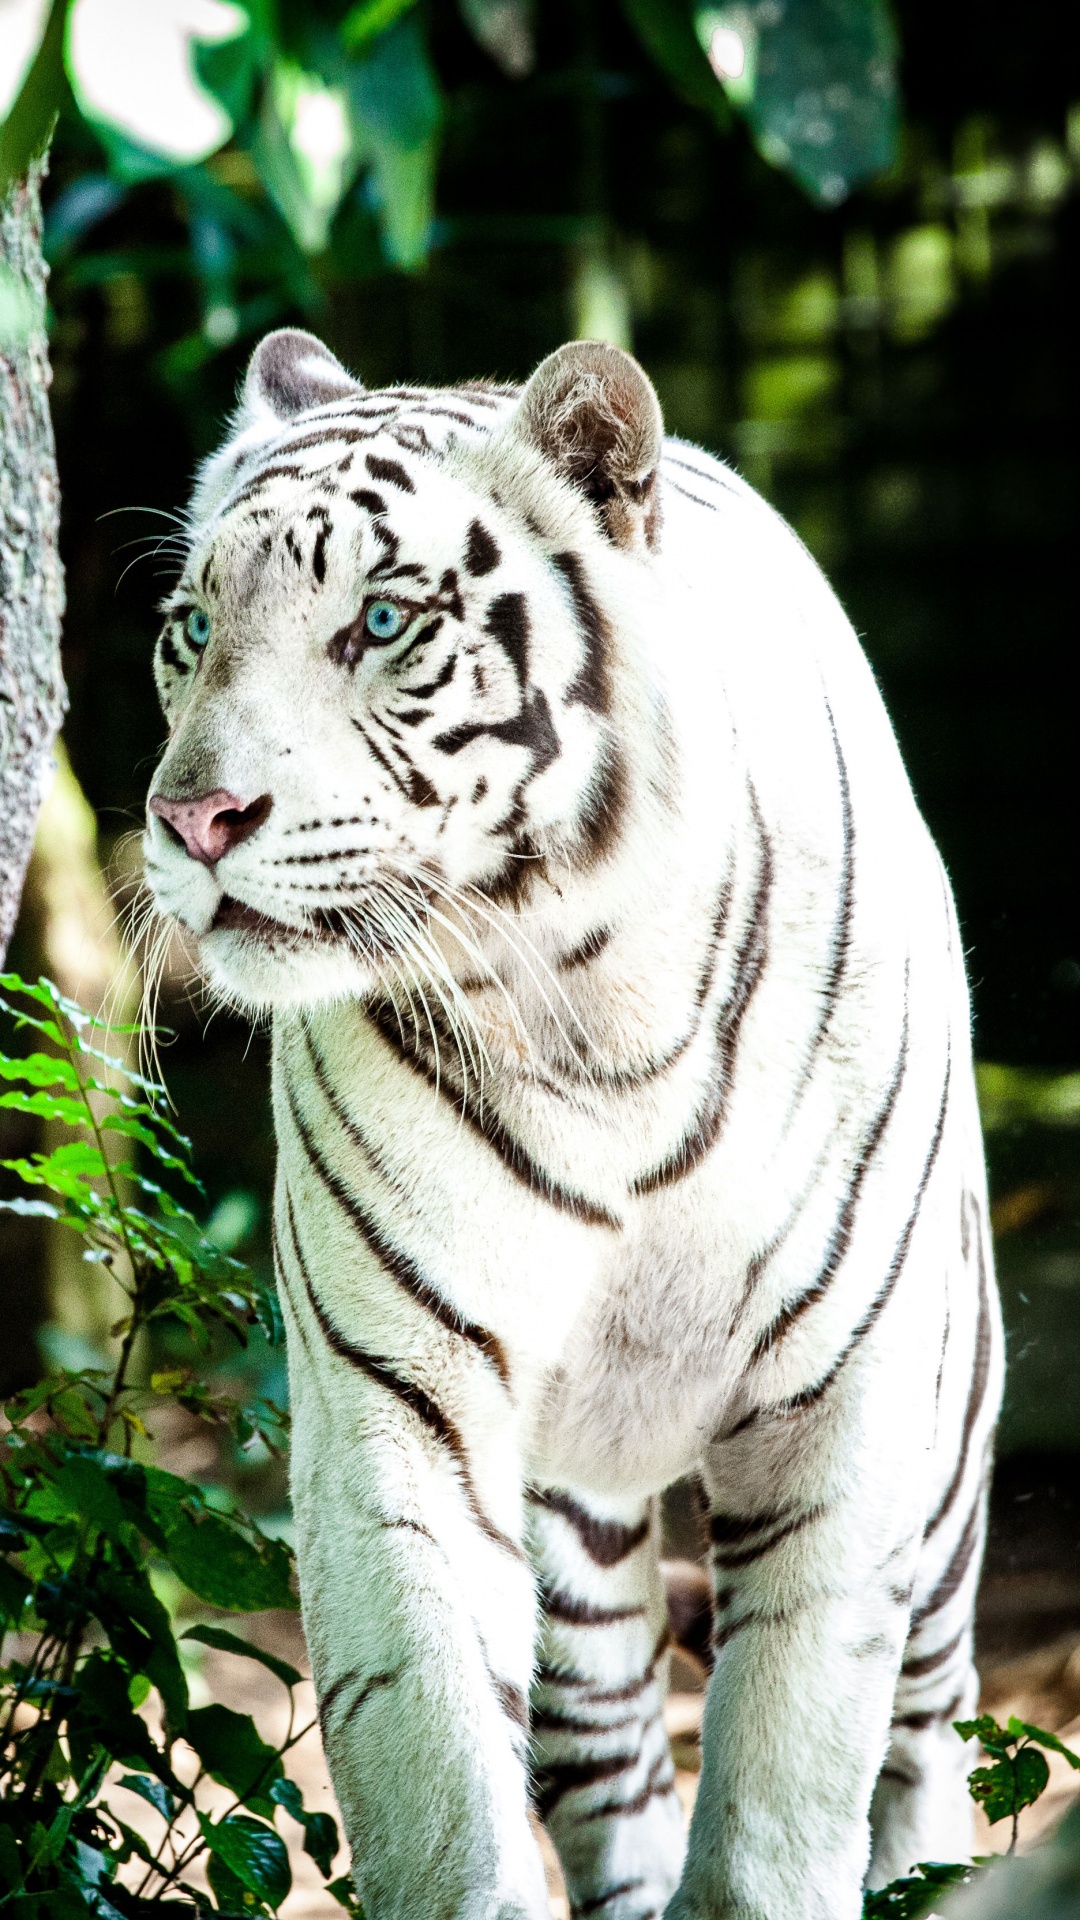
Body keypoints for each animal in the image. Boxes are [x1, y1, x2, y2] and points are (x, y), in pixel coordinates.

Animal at [143, 326, 999, 1920]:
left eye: (384, 620)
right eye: (192, 626)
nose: (192, 820)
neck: (593, 1013)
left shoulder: (842, 1407)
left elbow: (788, 1790)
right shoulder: (400, 1403)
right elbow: (435, 1776)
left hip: (949, 1444)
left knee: (930, 1729)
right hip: (579, 1540)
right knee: (614, 1768)